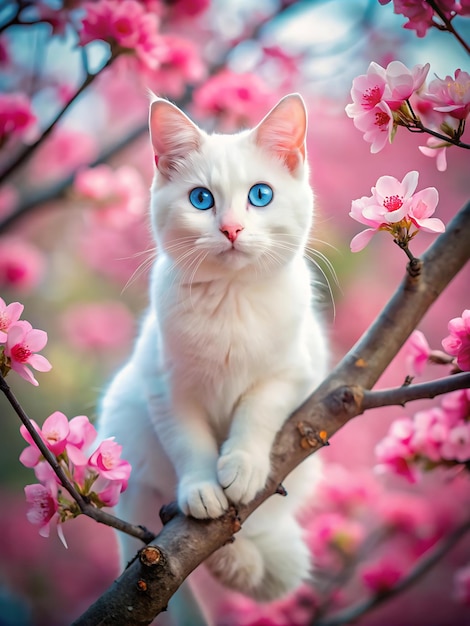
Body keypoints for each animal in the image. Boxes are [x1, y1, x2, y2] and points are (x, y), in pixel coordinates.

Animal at [97, 92, 328, 604]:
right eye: (201, 199)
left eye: (260, 195)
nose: (231, 229)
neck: (231, 299)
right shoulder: (164, 386)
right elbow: (189, 441)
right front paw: (201, 489)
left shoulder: (294, 372)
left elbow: (258, 410)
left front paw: (242, 465)